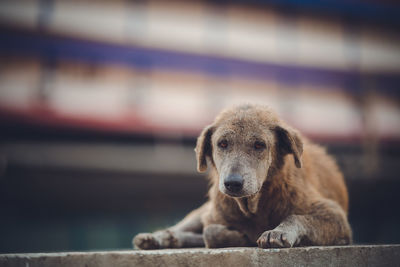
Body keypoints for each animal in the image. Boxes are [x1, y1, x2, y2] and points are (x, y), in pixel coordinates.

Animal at [134, 104, 350, 249]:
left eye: (259, 145)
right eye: (222, 144)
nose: (233, 183)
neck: (255, 205)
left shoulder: (335, 216)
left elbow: (296, 217)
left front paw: (278, 232)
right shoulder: (213, 216)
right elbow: (210, 233)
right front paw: (242, 236)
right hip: (201, 212)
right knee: (185, 227)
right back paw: (158, 238)